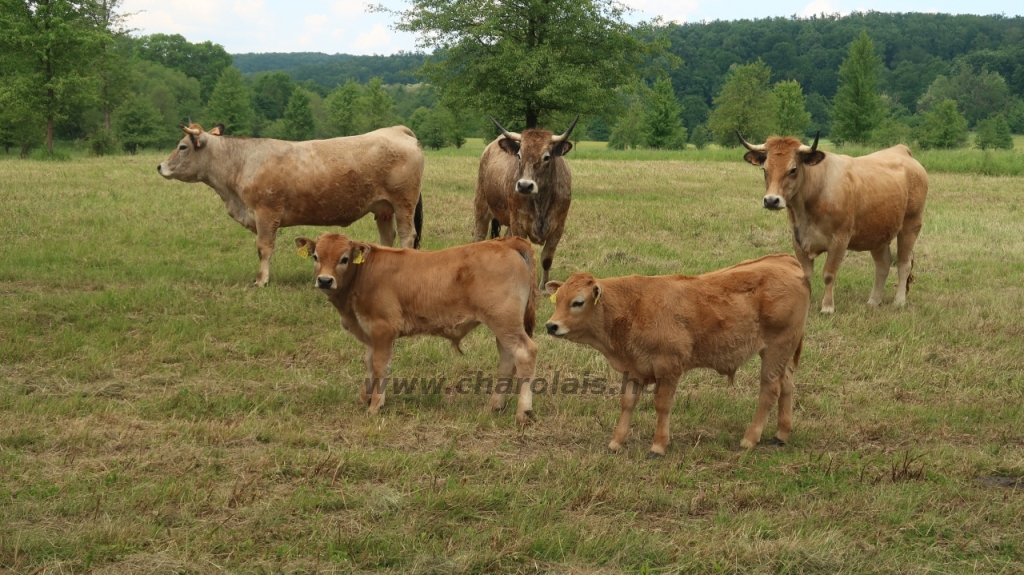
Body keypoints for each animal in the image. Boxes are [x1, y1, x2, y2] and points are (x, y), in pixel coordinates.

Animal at [157, 125, 421, 286]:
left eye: (182, 146)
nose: (160, 166)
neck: (241, 163)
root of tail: (397, 130)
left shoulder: (266, 212)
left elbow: (264, 248)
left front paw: (261, 281)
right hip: (383, 208)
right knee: (387, 238)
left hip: (403, 203)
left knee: (407, 236)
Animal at [294, 231, 540, 421]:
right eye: (316, 256)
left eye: (344, 259)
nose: (325, 280)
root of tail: (506, 242)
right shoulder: (370, 332)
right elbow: (369, 363)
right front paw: (364, 397)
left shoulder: (383, 328)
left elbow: (380, 365)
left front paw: (375, 405)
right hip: (504, 327)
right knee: (507, 361)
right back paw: (494, 406)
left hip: (504, 322)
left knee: (525, 354)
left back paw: (523, 412)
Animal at [544, 252, 806, 454]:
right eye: (557, 300)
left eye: (577, 302)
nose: (551, 325)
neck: (633, 306)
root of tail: (785, 260)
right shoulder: (633, 368)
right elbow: (627, 402)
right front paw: (616, 442)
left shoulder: (668, 367)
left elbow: (662, 404)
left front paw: (658, 446)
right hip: (783, 353)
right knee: (787, 385)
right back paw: (781, 434)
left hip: (775, 349)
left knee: (770, 390)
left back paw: (749, 439)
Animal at [737, 131, 929, 311]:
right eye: (764, 169)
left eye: (793, 169)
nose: (771, 200)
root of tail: (902, 150)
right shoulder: (798, 239)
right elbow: (806, 276)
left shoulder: (840, 239)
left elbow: (829, 274)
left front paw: (828, 307)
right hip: (878, 232)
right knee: (883, 264)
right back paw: (874, 301)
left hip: (911, 224)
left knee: (903, 263)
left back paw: (899, 301)